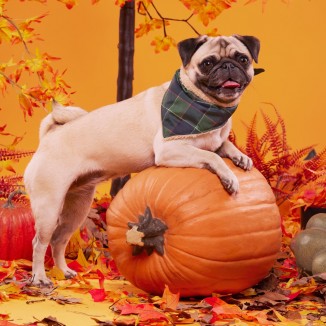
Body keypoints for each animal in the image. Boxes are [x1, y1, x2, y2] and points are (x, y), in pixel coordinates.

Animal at [24, 34, 260, 286]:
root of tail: (49, 136)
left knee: (59, 239)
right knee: (39, 243)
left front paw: (241, 156)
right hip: (49, 207)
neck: (207, 106)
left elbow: (222, 146)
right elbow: (211, 155)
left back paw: (64, 271)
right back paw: (40, 277)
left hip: (77, 207)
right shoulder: (169, 149)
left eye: (242, 59)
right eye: (208, 63)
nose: (228, 66)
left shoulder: (212, 140)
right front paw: (229, 177)